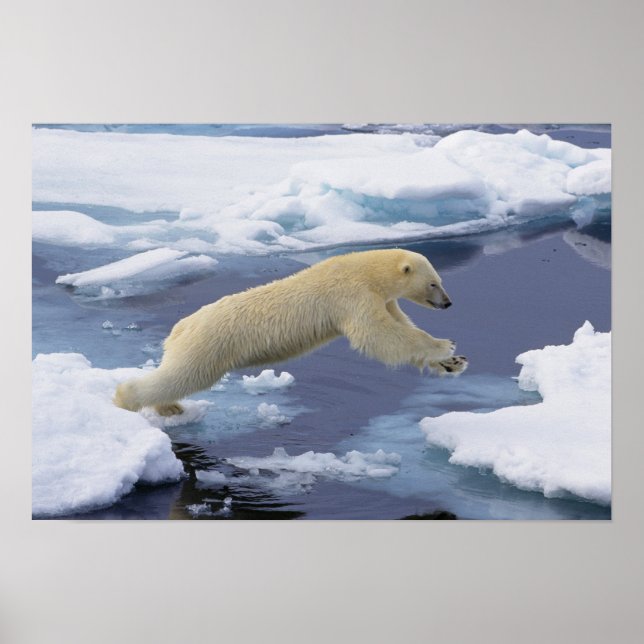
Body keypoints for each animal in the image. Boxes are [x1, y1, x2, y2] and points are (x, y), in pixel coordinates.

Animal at [113, 248, 467, 416]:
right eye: (433, 283)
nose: (448, 303)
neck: (365, 270)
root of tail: (181, 327)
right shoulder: (351, 295)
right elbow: (379, 336)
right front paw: (445, 346)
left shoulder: (382, 298)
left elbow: (401, 327)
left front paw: (453, 363)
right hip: (209, 344)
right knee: (183, 375)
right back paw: (126, 399)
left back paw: (169, 406)